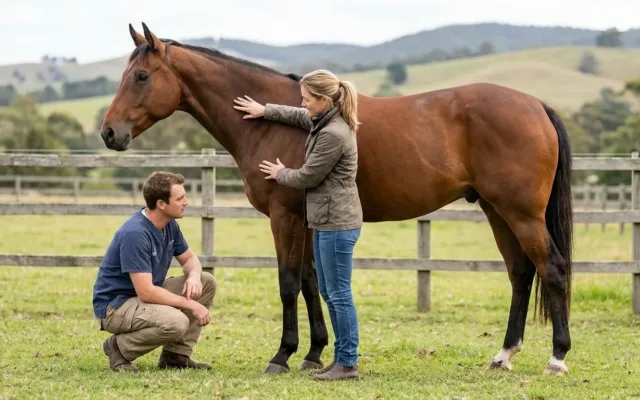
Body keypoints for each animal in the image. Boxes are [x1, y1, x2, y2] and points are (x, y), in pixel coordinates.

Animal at [100, 23, 574, 376]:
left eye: (142, 77)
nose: (109, 132)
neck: (276, 125)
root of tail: (537, 105)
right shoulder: (309, 221)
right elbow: (312, 281)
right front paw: (313, 354)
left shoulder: (284, 217)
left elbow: (288, 282)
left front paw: (282, 356)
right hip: (497, 211)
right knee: (520, 273)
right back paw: (504, 355)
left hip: (521, 214)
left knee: (551, 269)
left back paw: (556, 357)